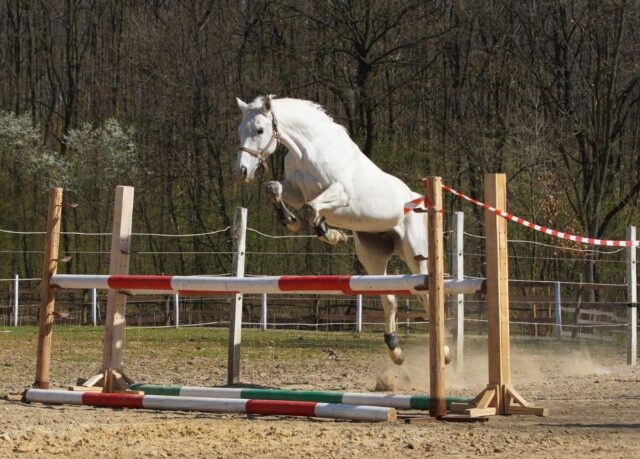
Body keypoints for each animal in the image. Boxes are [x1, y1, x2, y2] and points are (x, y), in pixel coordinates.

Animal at [232, 95, 448, 364]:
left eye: (260, 130)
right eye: (240, 130)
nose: (241, 172)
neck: (308, 149)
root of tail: (418, 200)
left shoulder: (339, 194)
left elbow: (311, 209)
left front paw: (331, 233)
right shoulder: (296, 190)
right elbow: (275, 188)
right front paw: (294, 221)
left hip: (414, 254)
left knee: (426, 297)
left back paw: (445, 352)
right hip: (372, 255)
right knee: (390, 300)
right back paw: (395, 349)